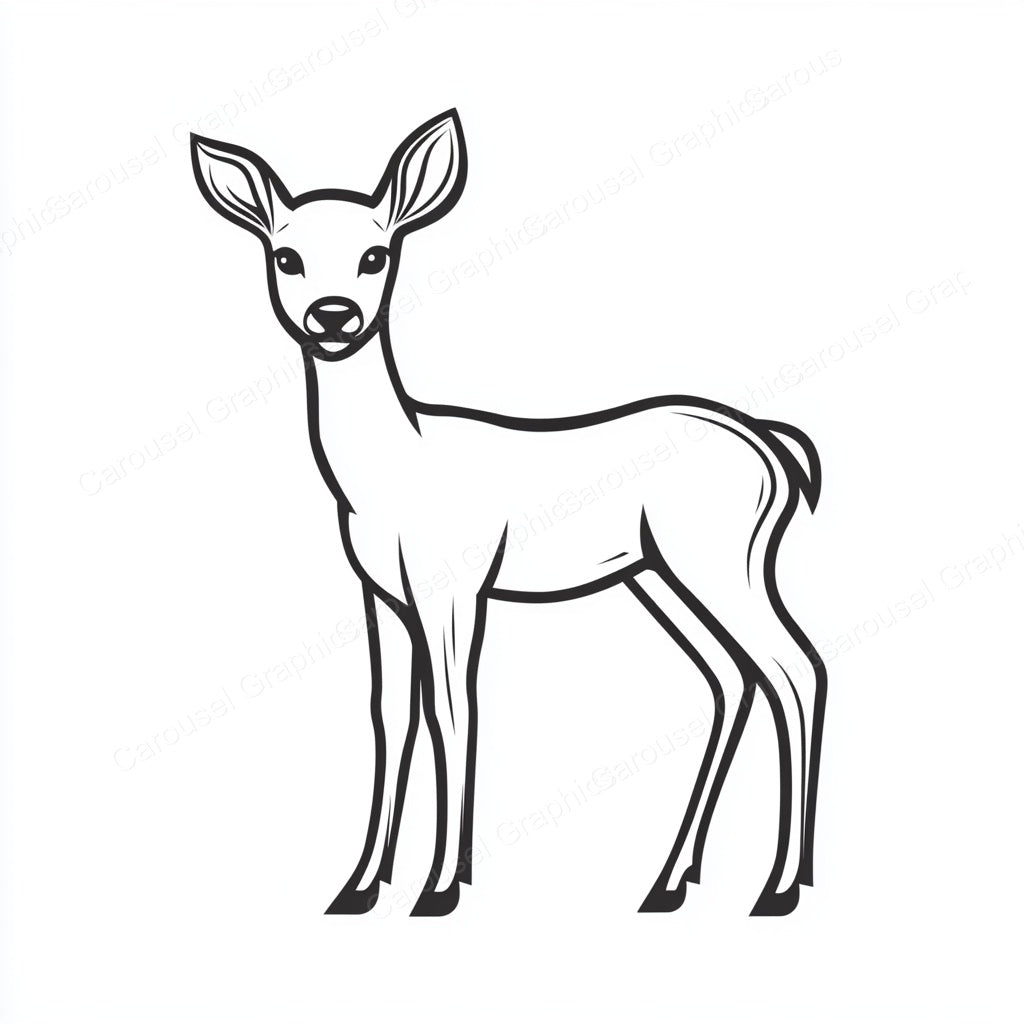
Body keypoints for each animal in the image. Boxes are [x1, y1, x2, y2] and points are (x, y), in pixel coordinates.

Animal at [191, 109, 828, 917]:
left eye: (375, 255)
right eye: (287, 256)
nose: (333, 317)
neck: (394, 466)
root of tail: (773, 446)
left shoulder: (456, 585)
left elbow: (452, 709)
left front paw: (440, 886)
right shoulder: (381, 594)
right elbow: (389, 715)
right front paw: (359, 886)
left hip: (716, 560)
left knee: (795, 670)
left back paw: (779, 886)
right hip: (656, 575)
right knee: (732, 679)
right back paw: (668, 882)